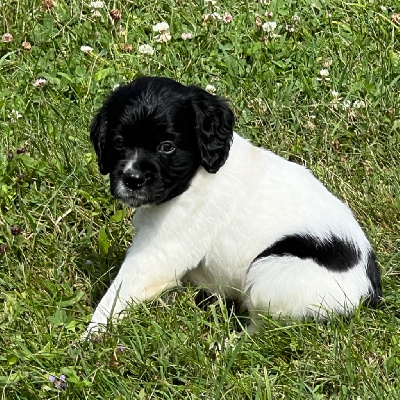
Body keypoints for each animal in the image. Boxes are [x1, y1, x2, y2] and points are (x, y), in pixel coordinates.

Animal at [86, 76, 382, 336]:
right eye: (118, 142)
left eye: (167, 147)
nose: (132, 179)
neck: (197, 176)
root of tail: (368, 293)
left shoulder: (160, 250)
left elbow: (119, 292)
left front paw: (90, 337)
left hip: (270, 272)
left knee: (267, 329)